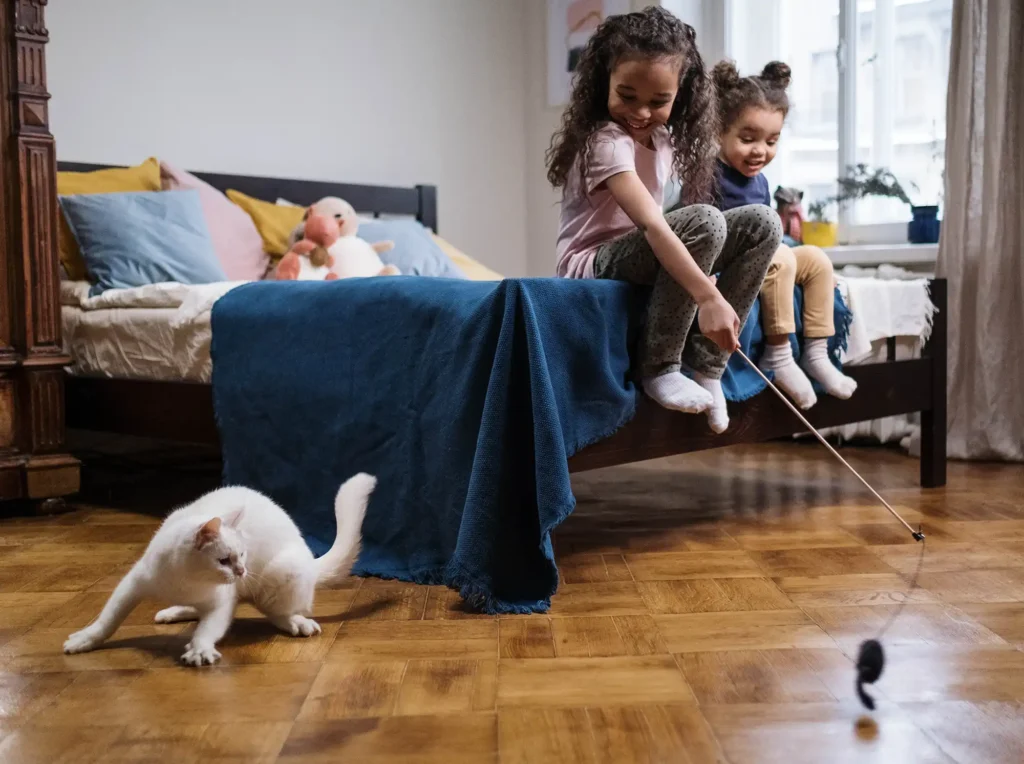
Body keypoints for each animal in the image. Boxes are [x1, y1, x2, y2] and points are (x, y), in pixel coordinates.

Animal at [60, 467, 372, 663]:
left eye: (243, 555)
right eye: (225, 560)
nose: (242, 572)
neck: (186, 582)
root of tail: (309, 559)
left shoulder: (222, 602)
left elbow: (208, 628)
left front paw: (199, 649)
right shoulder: (133, 583)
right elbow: (108, 619)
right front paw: (86, 639)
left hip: (282, 573)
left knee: (278, 613)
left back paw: (297, 622)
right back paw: (173, 611)